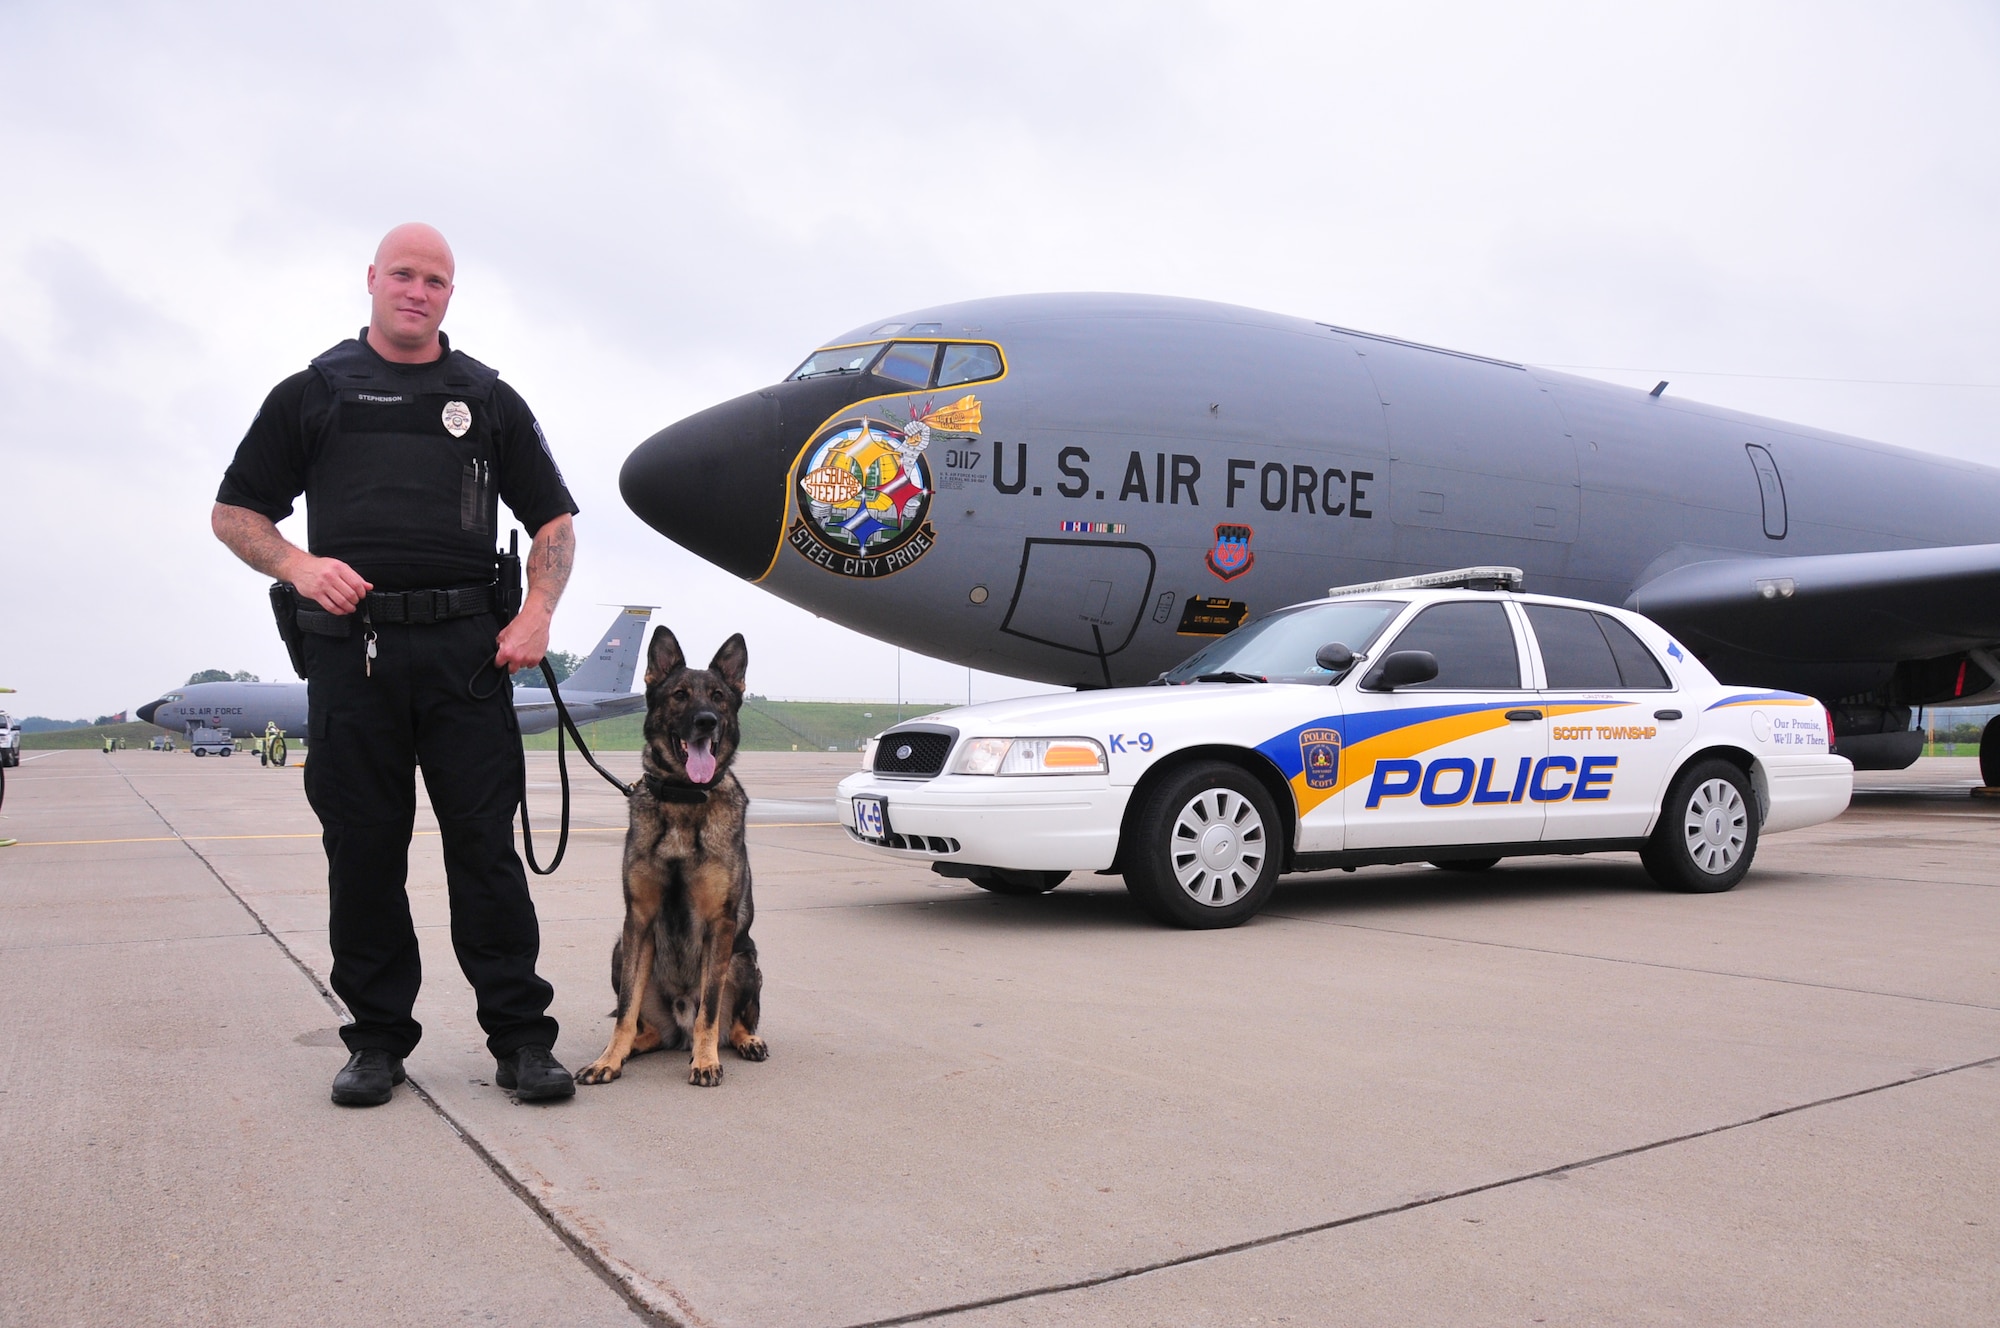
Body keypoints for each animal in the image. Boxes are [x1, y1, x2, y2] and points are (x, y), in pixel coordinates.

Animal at [584, 628, 768, 1088]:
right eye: (680, 695)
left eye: (718, 697)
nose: (707, 721)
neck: (685, 797)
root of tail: (677, 1030)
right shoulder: (638, 920)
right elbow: (625, 1010)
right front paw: (608, 1058)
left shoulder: (720, 926)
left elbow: (710, 1010)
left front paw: (706, 1061)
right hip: (620, 950)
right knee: (647, 1028)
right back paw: (634, 1047)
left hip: (745, 960)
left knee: (733, 1020)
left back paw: (744, 1041)